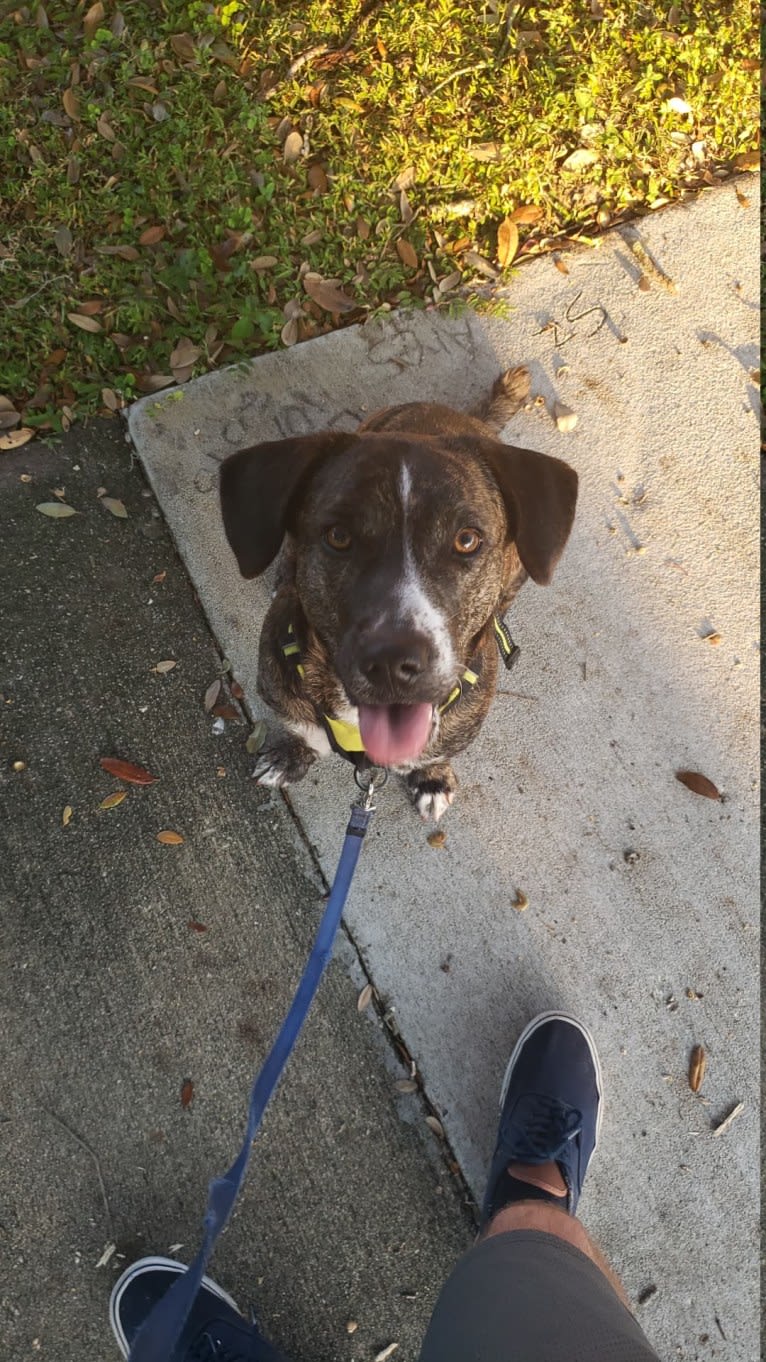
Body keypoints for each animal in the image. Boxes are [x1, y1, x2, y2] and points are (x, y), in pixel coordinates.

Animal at [218, 365, 575, 817]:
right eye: (338, 536)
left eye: (467, 540)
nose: (392, 662)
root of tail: (467, 419)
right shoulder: (282, 691)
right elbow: (303, 729)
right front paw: (291, 755)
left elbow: (435, 750)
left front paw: (432, 776)